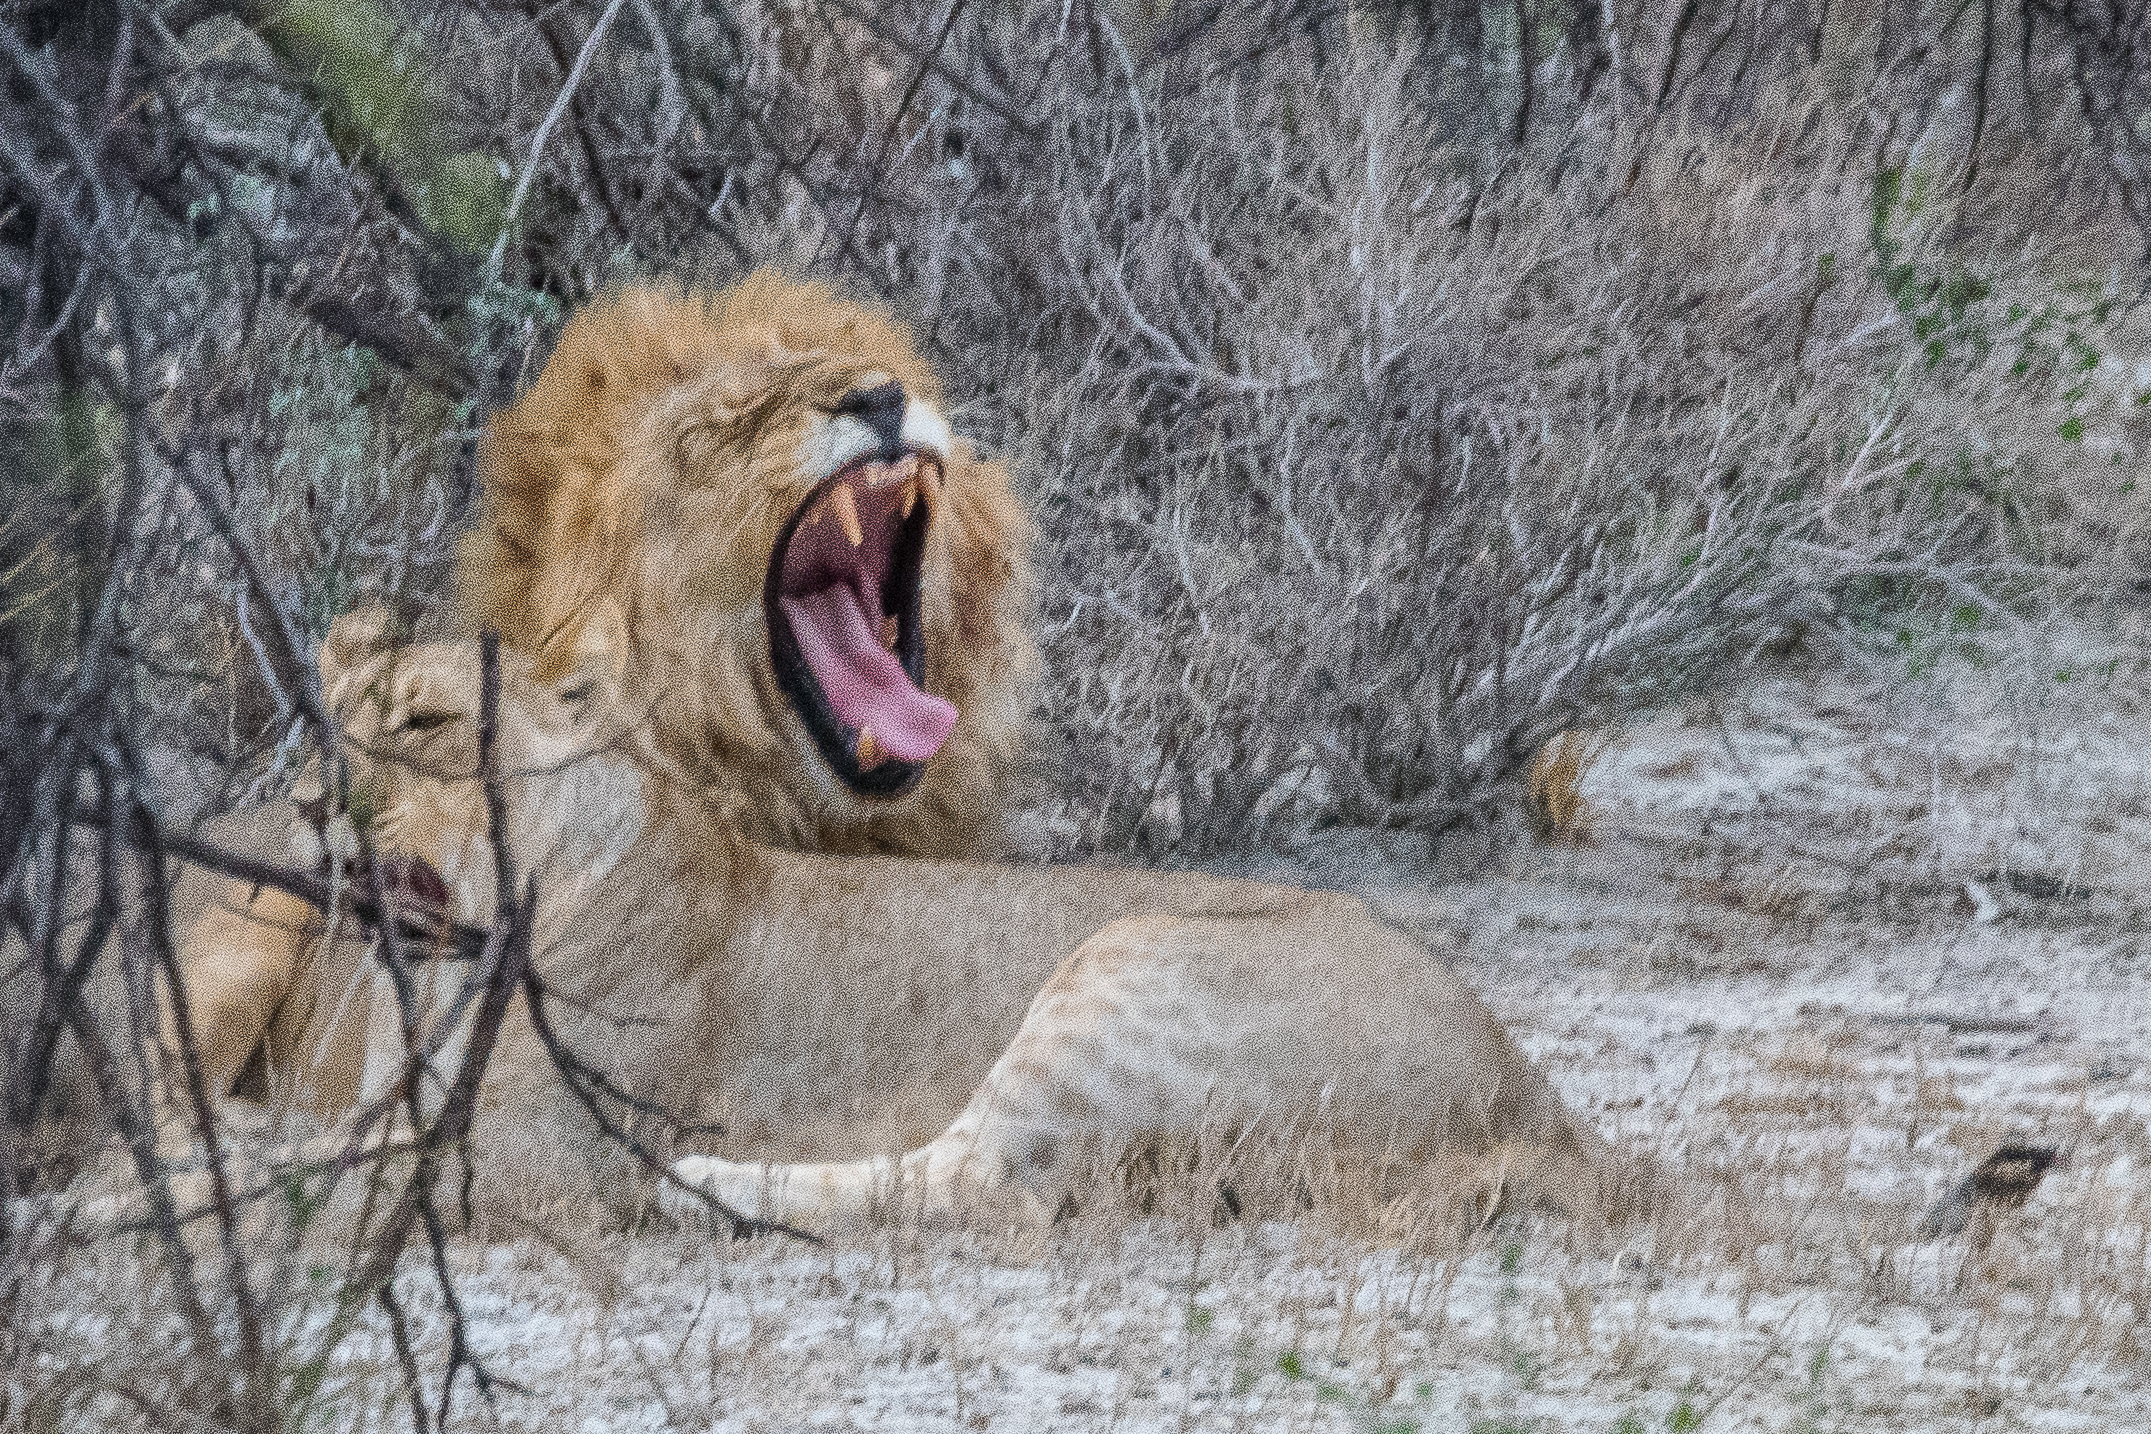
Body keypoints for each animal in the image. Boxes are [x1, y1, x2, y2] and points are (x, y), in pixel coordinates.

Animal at [184, 610, 1617, 1238]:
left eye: (426, 721)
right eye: (326, 717)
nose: (306, 802)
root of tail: (1527, 1085)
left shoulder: (547, 1154)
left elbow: (319, 1173)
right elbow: (299, 1143)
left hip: (1128, 963)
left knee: (982, 1181)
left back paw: (706, 1187)